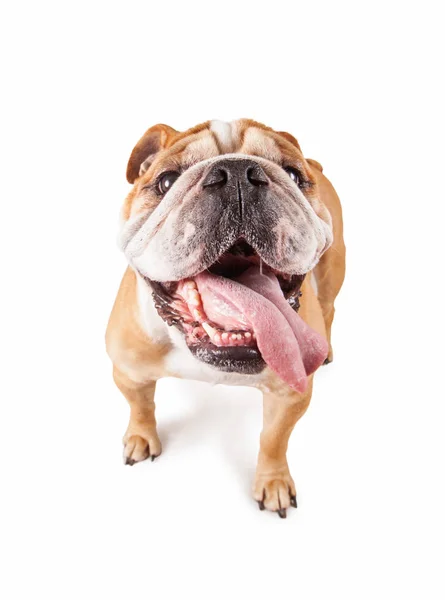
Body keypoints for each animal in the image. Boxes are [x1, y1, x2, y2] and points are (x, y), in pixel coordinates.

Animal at [106, 117, 346, 516]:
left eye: (293, 175)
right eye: (166, 181)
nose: (237, 173)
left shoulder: (290, 396)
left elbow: (273, 438)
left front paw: (273, 482)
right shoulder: (128, 371)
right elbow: (140, 405)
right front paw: (141, 436)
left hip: (331, 272)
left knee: (329, 306)